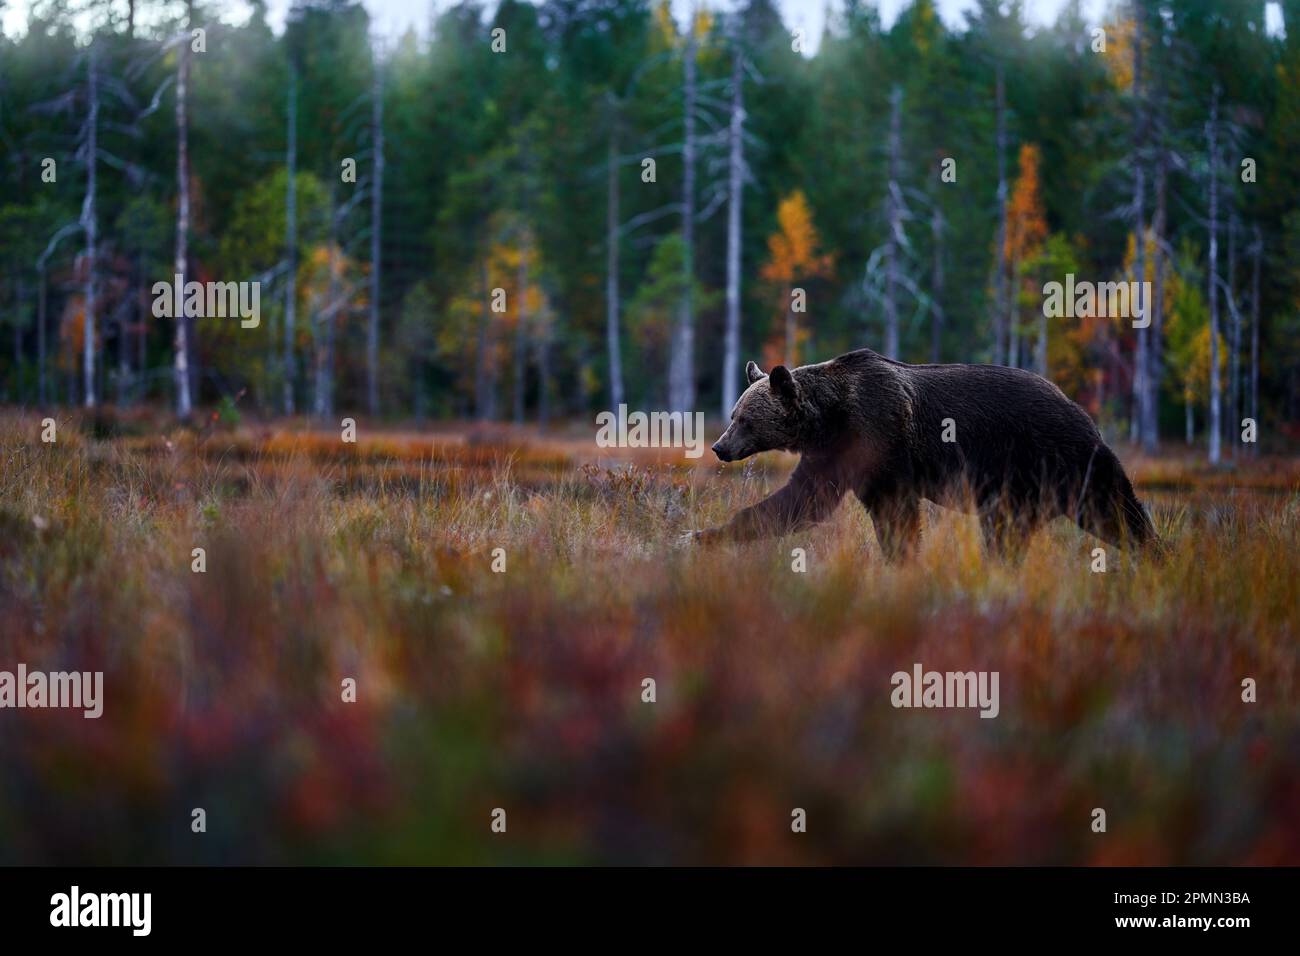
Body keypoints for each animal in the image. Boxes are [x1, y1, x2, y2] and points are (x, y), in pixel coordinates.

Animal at [696, 348, 1164, 561]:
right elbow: (803, 501)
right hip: (1022, 487)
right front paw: (706, 535)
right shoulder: (836, 455)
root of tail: (1080, 409)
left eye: (744, 419)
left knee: (1113, 508)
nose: (719, 446)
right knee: (1008, 529)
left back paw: (1156, 553)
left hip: (1059, 455)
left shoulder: (879, 437)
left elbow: (894, 512)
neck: (830, 417)